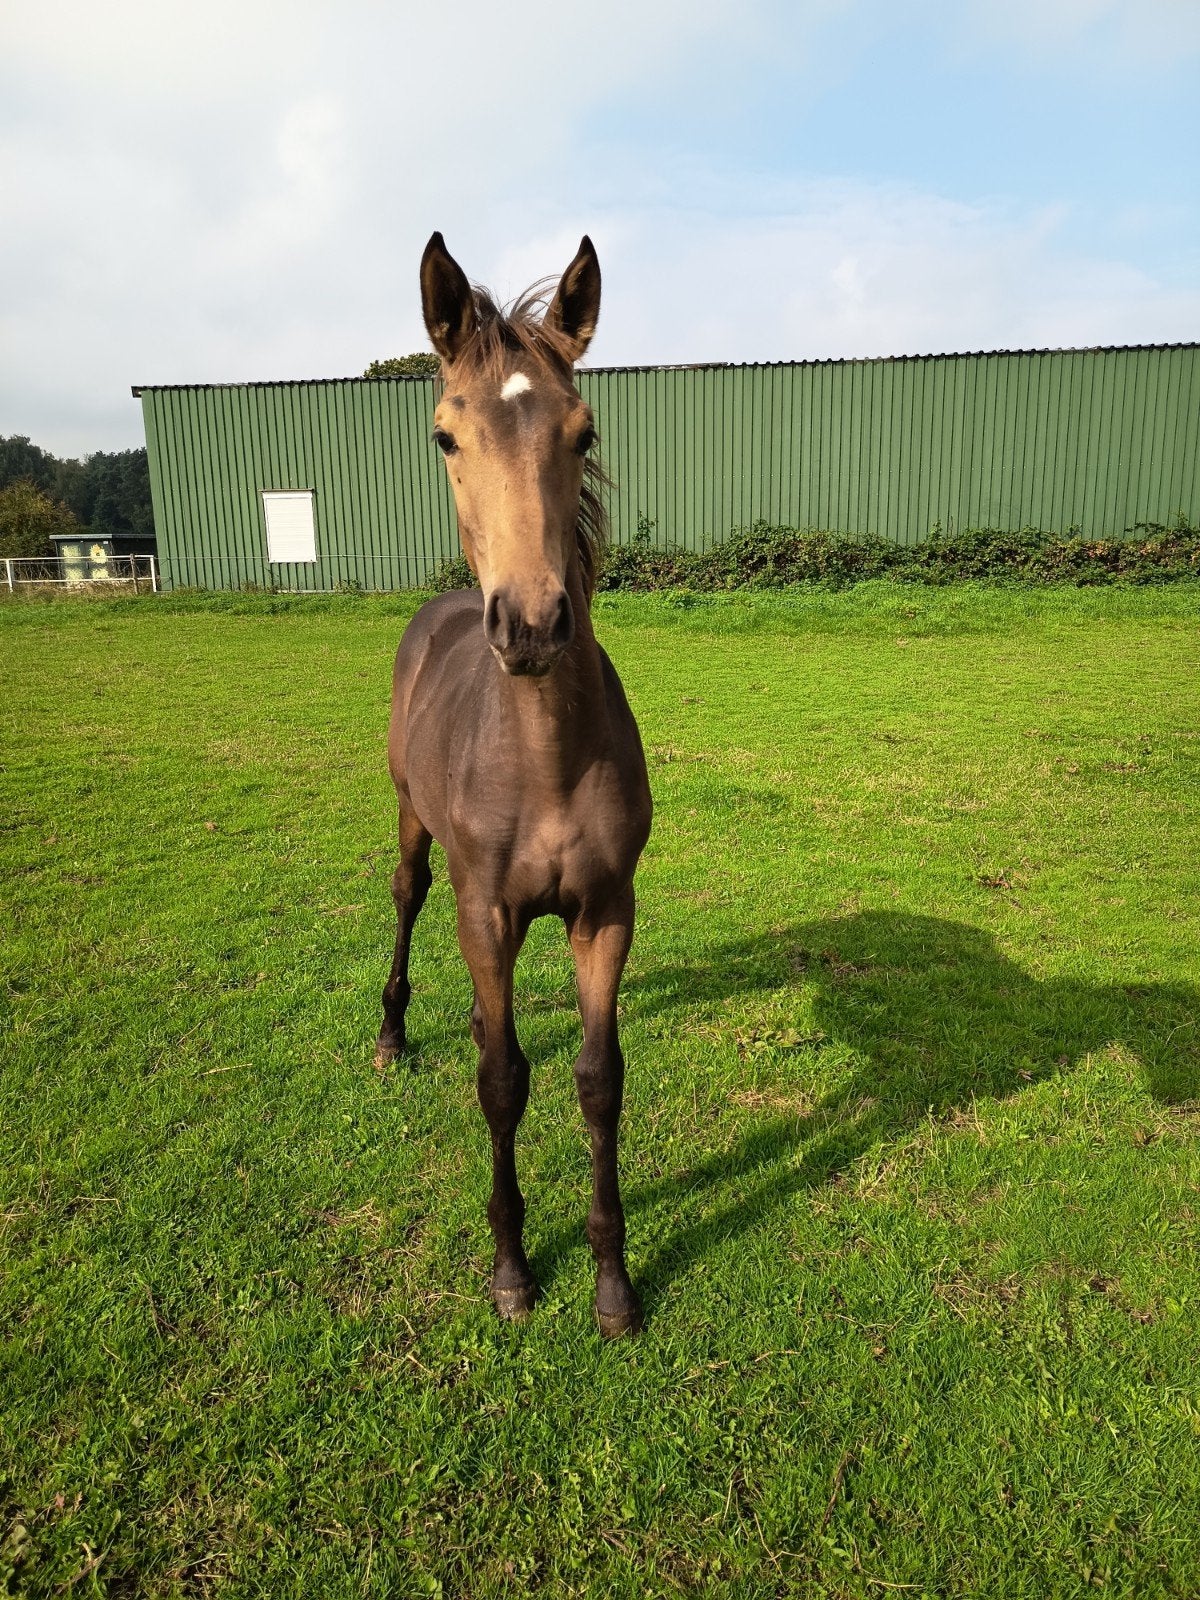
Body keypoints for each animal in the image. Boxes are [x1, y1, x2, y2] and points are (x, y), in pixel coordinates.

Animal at [373, 233, 652, 1338]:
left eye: (584, 430)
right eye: (446, 436)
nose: (531, 624)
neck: (542, 760)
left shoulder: (604, 909)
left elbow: (597, 1079)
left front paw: (613, 1280)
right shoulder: (486, 910)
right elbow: (501, 1080)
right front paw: (511, 1269)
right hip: (416, 830)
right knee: (408, 898)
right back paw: (391, 1032)